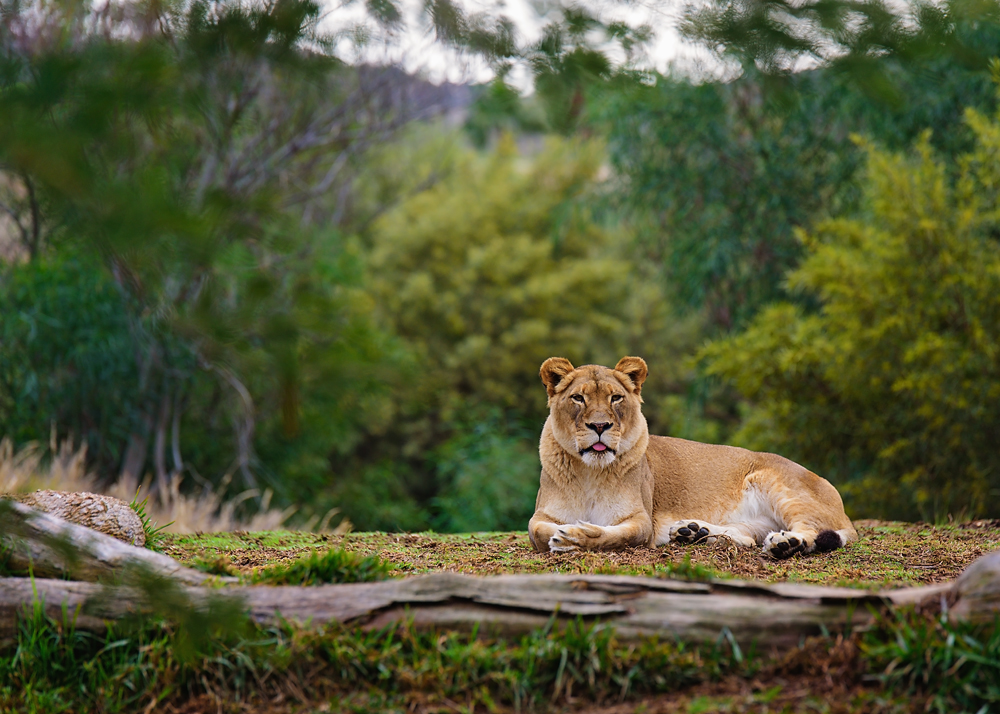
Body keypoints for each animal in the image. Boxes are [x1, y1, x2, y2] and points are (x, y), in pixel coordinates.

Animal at [528, 356, 857, 558]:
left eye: (615, 398)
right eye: (578, 398)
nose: (599, 426)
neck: (590, 474)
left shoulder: (641, 521)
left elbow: (614, 536)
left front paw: (575, 536)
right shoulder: (539, 517)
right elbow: (540, 531)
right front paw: (567, 534)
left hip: (777, 483)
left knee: (813, 529)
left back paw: (785, 543)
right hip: (756, 521)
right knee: (747, 538)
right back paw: (692, 532)